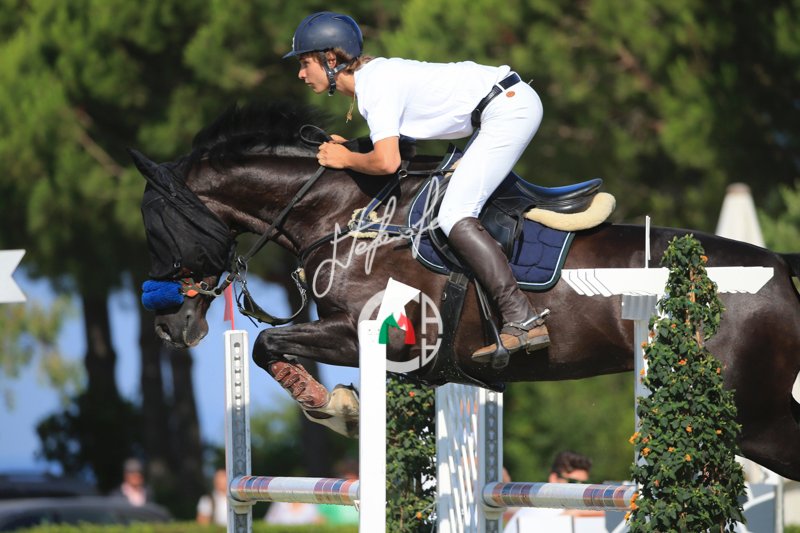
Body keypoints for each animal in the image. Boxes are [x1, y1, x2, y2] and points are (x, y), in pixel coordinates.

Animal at [131, 102, 800, 481]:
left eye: (154, 225)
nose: (170, 327)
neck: (346, 213)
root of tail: (778, 265)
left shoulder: (375, 336)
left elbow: (268, 343)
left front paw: (337, 407)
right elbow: (272, 346)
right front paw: (341, 404)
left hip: (750, 412)